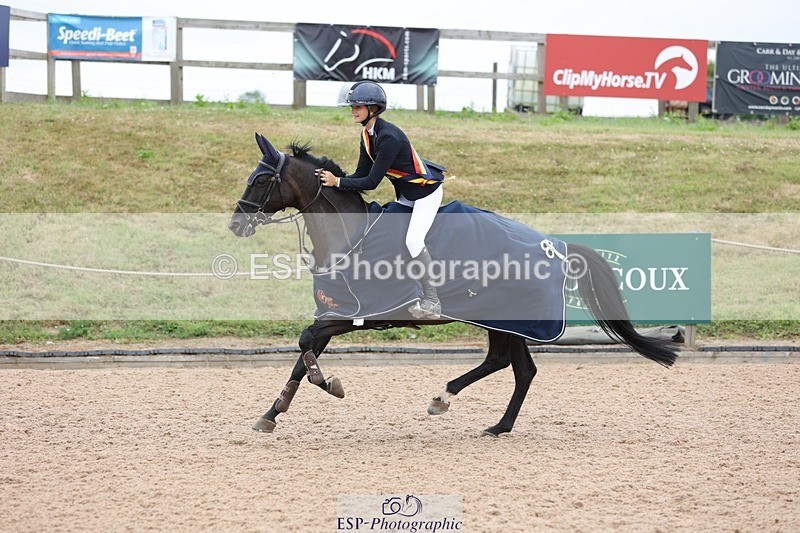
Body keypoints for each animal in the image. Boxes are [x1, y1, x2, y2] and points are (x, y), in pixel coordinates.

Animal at [228, 133, 678, 437]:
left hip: (508, 318)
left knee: (515, 367)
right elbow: (303, 354)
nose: (236, 223)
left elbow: (306, 344)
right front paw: (271, 414)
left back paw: (461, 407)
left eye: (260, 180)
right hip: (502, 320)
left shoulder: (357, 314)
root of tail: (557, 246)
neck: (349, 234)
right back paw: (479, 416)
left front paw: (330, 385)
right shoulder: (333, 311)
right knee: (512, 365)